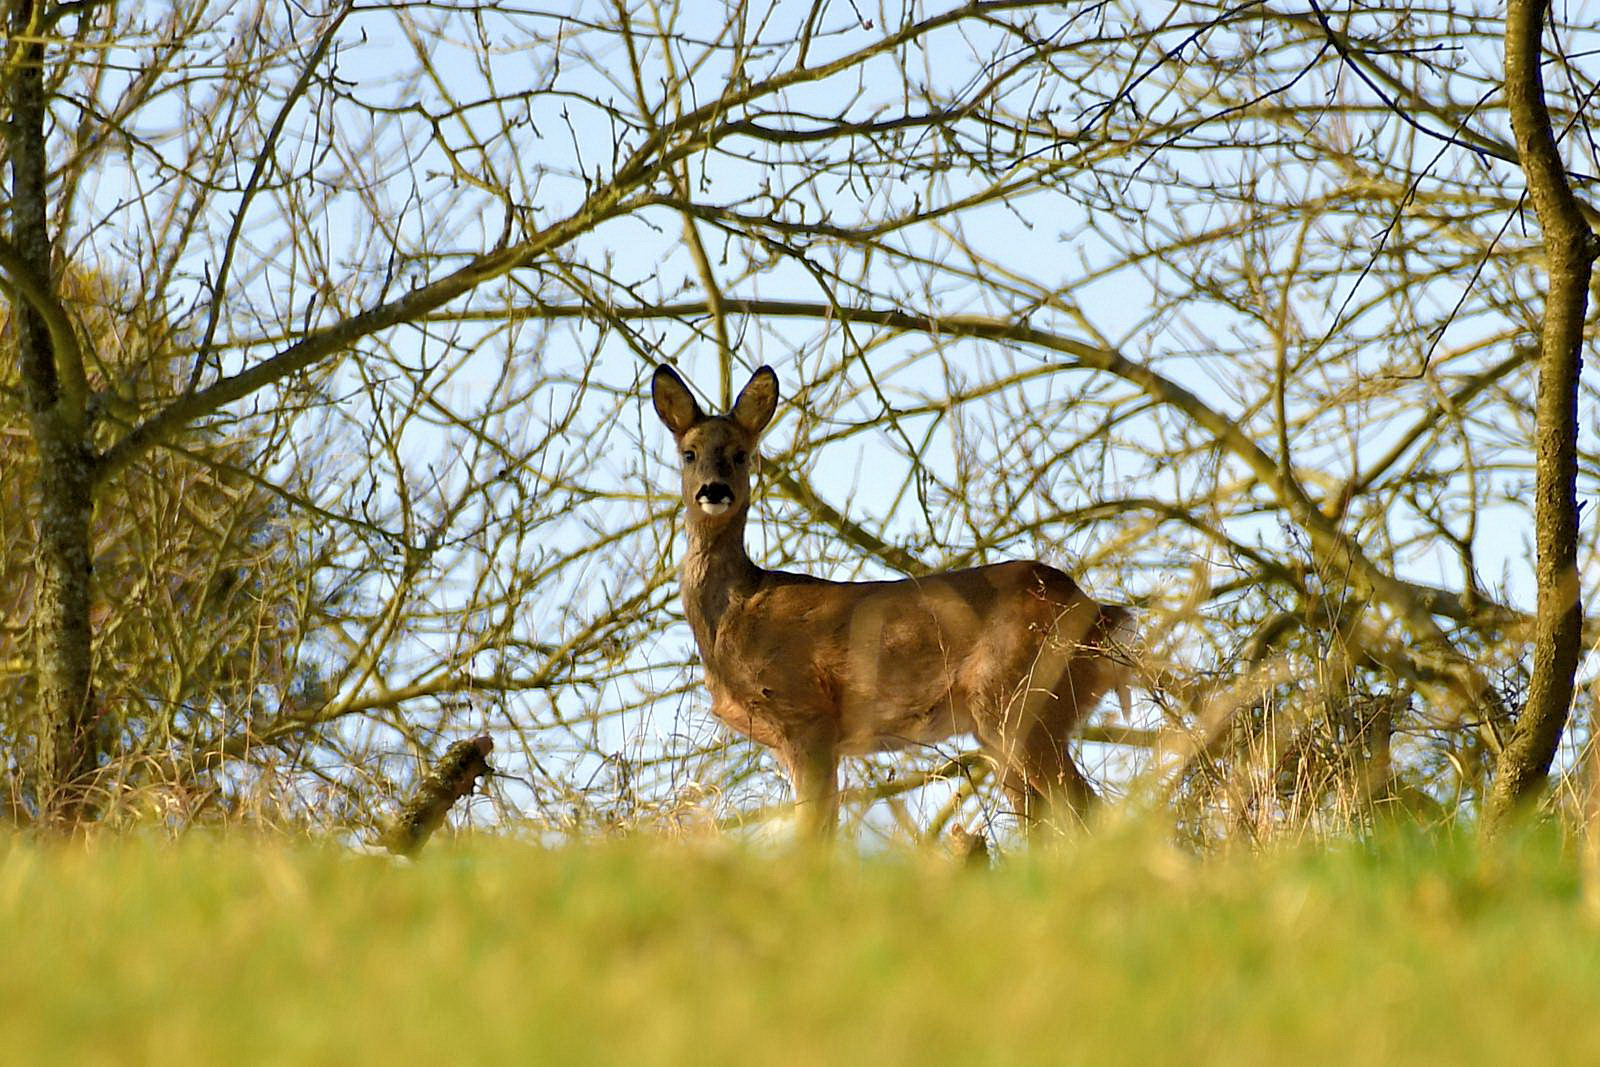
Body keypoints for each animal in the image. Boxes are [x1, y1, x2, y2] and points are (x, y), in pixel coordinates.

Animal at [652, 363, 1139, 838]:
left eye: (740, 453)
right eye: (689, 453)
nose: (714, 491)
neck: (736, 612)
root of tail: (1100, 614)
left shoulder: (806, 714)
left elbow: (814, 835)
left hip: (1021, 698)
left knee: (1087, 810)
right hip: (1001, 727)